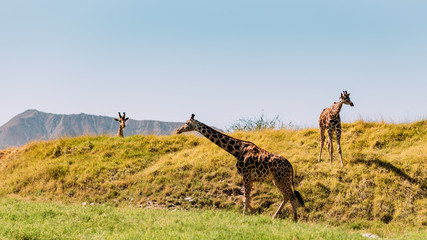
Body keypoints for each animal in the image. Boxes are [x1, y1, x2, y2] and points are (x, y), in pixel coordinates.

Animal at [176, 114, 304, 221]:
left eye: (187, 123)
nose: (178, 130)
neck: (237, 150)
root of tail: (291, 166)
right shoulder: (250, 178)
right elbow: (247, 199)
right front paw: (255, 212)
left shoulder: (246, 175)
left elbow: (245, 198)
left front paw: (244, 215)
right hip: (277, 180)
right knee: (286, 196)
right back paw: (274, 217)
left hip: (282, 179)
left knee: (292, 197)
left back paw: (295, 219)